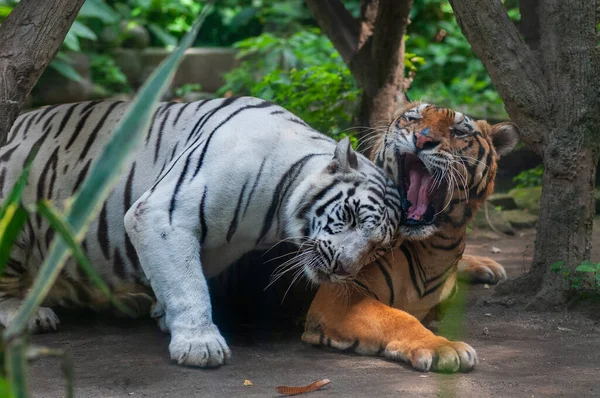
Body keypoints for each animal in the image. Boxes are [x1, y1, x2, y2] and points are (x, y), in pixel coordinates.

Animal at [1, 96, 404, 366]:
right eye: (351, 216)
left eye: (376, 249)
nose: (343, 268)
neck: (274, 212)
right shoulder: (163, 214)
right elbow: (187, 283)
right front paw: (199, 344)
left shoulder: (219, 245)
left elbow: (184, 276)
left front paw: (165, 315)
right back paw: (28, 314)